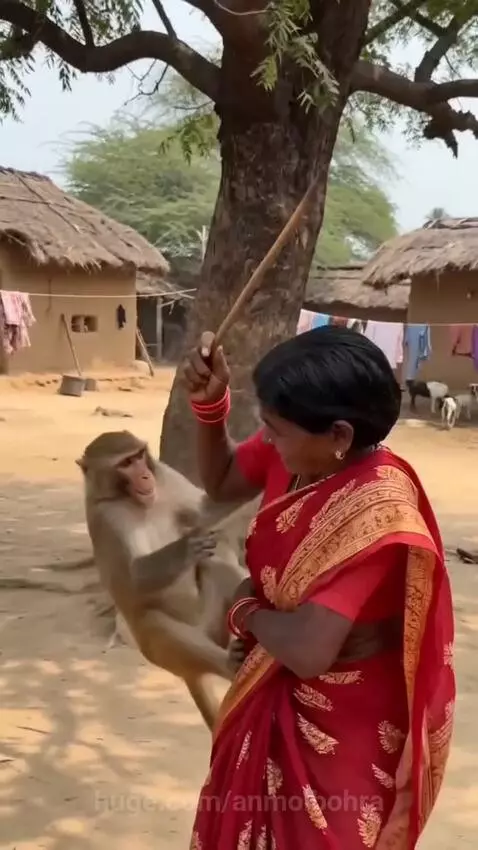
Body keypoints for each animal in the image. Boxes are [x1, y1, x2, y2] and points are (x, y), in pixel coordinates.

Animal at [76, 430, 248, 731]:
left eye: (138, 457)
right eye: (125, 464)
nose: (145, 476)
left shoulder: (166, 476)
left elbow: (205, 510)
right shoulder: (106, 517)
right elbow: (133, 579)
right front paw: (188, 545)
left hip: (214, 624)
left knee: (217, 568)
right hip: (160, 655)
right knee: (153, 621)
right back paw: (230, 664)